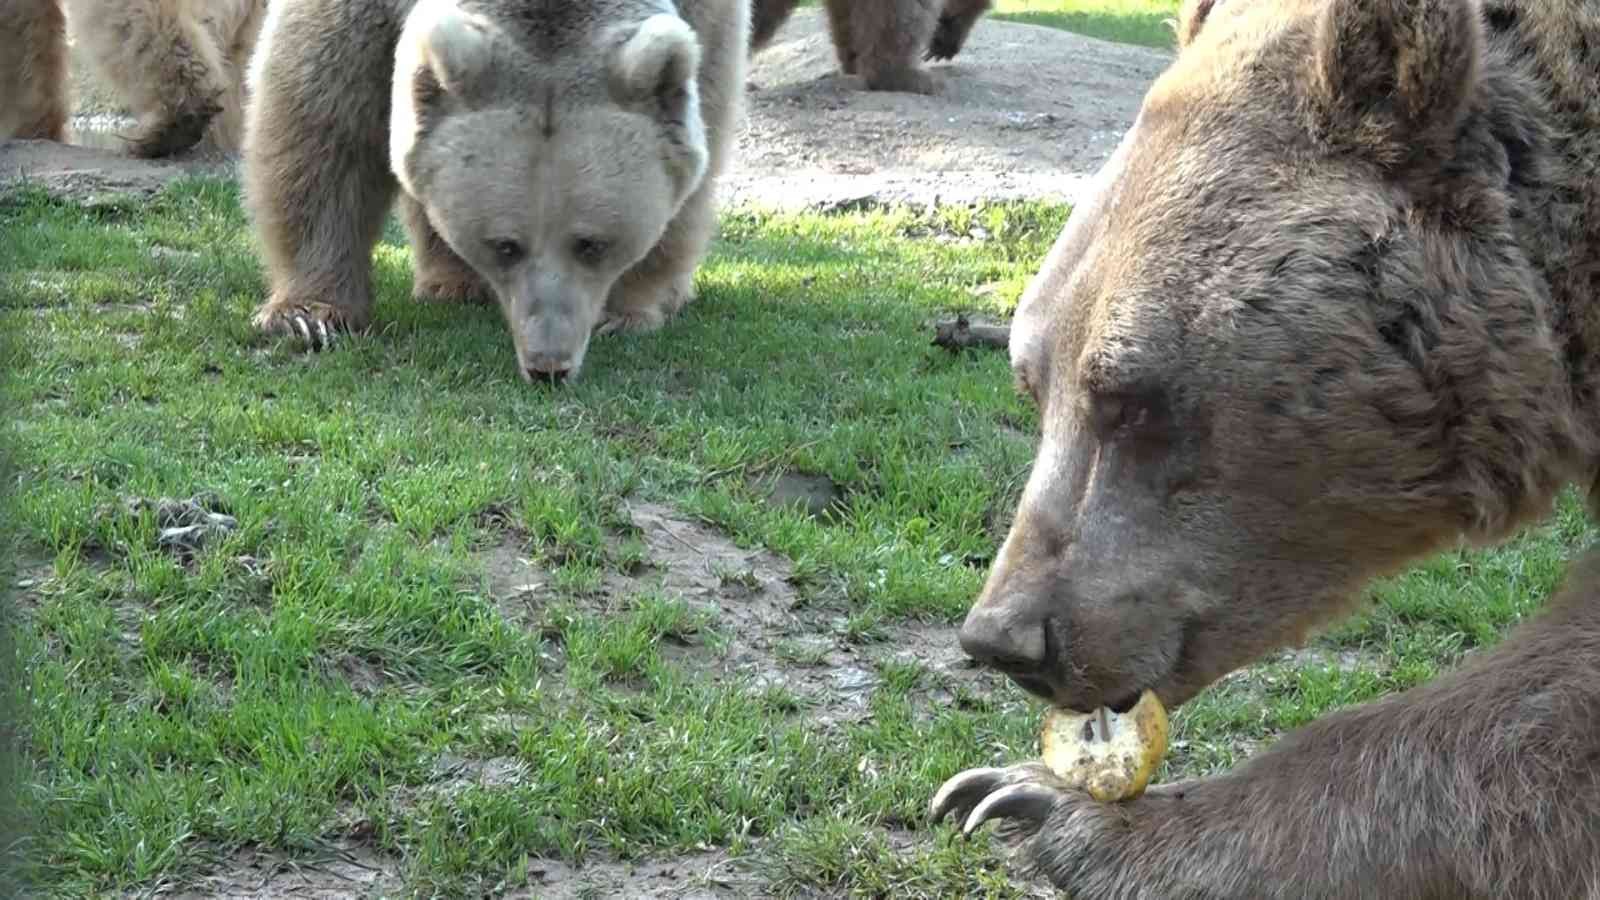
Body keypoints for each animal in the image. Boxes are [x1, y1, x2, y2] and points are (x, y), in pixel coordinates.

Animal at [243, 0, 748, 381]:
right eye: (505, 245)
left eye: (592, 244)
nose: (548, 365)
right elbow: (324, 116)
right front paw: (308, 316)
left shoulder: (710, 20)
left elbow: (705, 116)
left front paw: (626, 311)